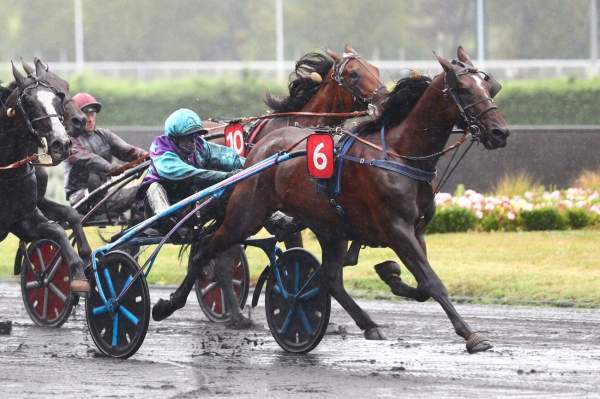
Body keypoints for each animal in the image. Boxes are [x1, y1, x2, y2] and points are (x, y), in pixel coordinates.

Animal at [0, 61, 89, 294]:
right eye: (29, 102)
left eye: (57, 95)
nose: (61, 143)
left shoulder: (22, 218)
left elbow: (60, 225)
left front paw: (80, 267)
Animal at [152, 47, 508, 354]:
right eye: (463, 89)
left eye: (489, 86)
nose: (500, 132)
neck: (401, 155)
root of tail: (259, 152)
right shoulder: (397, 229)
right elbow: (432, 282)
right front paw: (472, 335)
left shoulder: (416, 230)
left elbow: (421, 285)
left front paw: (390, 274)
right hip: (247, 215)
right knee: (208, 250)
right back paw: (171, 305)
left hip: (328, 226)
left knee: (331, 277)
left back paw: (367, 323)